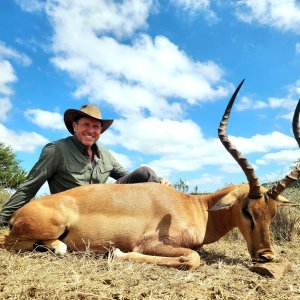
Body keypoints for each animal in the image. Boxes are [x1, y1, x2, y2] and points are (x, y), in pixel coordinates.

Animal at [0, 80, 298, 270]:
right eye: (247, 210)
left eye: (272, 213)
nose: (266, 255)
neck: (196, 207)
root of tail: (19, 213)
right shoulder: (151, 244)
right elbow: (192, 258)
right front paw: (116, 253)